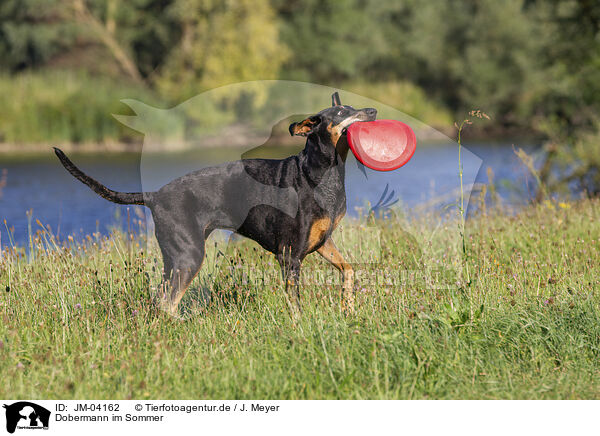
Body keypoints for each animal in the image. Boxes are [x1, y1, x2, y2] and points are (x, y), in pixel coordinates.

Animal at [55, 93, 376, 316]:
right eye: (340, 112)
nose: (373, 111)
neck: (322, 172)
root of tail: (155, 195)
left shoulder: (323, 242)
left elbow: (348, 271)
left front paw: (348, 309)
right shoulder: (289, 256)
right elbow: (295, 304)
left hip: (175, 258)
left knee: (160, 300)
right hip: (189, 256)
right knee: (168, 304)